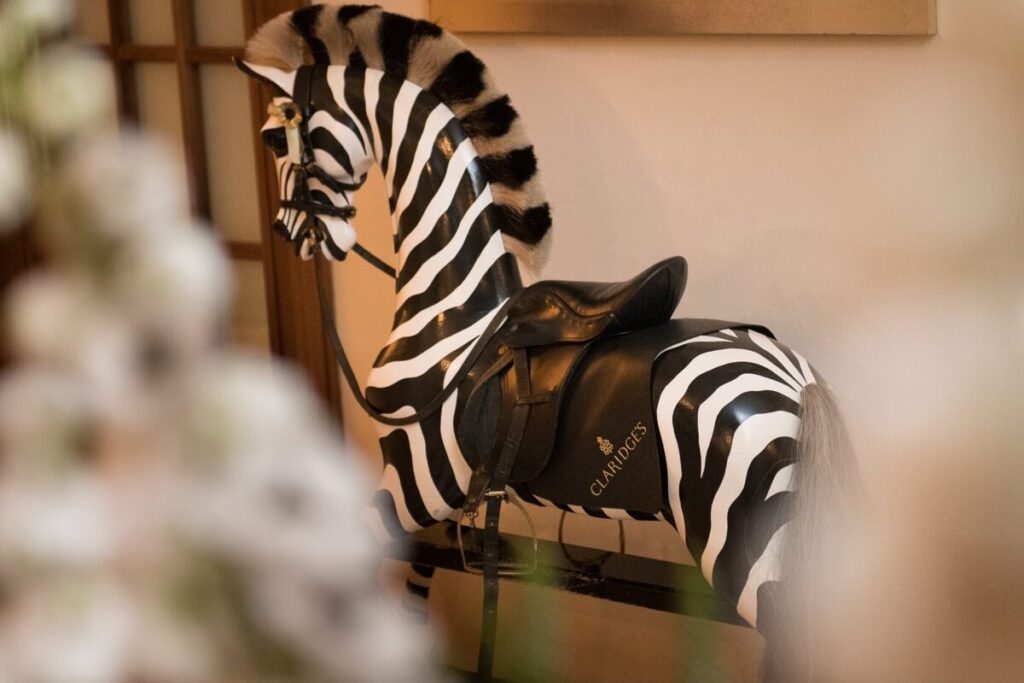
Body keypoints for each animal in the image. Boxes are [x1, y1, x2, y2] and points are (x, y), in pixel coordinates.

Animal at [237, 5, 856, 681]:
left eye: (274, 139)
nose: (286, 232)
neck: (456, 317)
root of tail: (795, 378)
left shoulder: (415, 477)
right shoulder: (446, 497)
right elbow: (419, 577)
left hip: (752, 565)